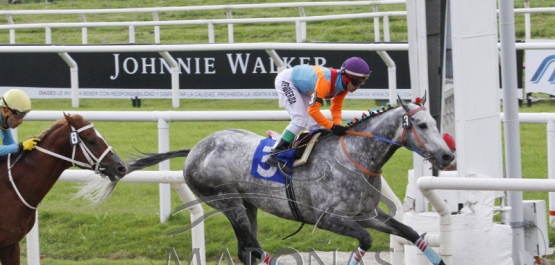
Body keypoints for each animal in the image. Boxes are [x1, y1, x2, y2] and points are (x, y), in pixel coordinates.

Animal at [127, 96, 456, 264]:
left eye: (436, 122)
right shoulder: (328, 218)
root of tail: (196, 148)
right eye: (422, 125)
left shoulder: (367, 214)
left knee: (247, 250)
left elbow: (411, 232)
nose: (447, 156)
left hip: (248, 205)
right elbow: (365, 240)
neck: (355, 159)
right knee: (253, 249)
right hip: (228, 203)